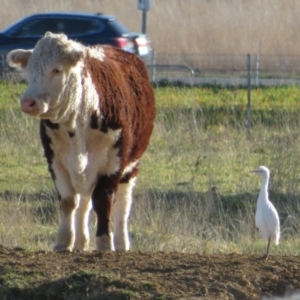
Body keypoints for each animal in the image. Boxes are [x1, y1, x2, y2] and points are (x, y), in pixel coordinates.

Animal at [6, 31, 156, 252]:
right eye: (30, 69)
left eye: (57, 69)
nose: (28, 102)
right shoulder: (55, 161)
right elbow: (69, 200)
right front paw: (64, 241)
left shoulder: (114, 162)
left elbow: (104, 200)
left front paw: (104, 243)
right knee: (84, 202)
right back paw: (80, 242)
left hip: (132, 166)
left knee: (123, 203)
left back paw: (121, 243)